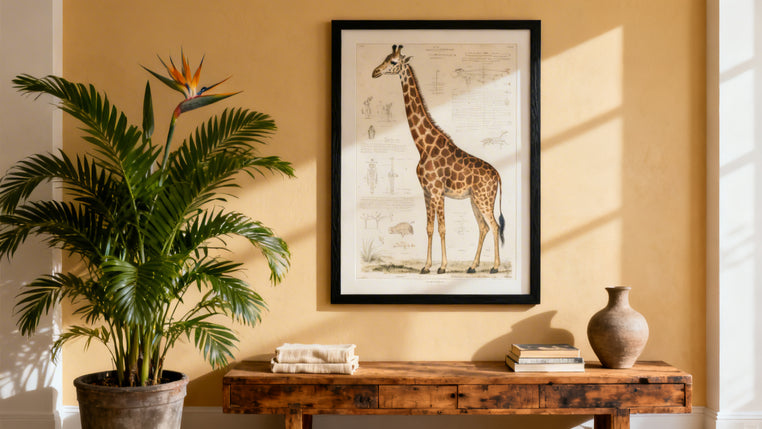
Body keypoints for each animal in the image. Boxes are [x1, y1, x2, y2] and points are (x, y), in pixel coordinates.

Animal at [372, 45, 505, 274]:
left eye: (393, 62)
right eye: (385, 58)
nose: (375, 72)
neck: (423, 146)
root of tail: (497, 174)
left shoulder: (437, 191)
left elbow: (442, 228)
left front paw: (442, 267)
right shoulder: (426, 192)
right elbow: (429, 228)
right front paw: (426, 266)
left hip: (484, 199)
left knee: (495, 226)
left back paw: (494, 267)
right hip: (475, 199)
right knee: (484, 227)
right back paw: (472, 266)